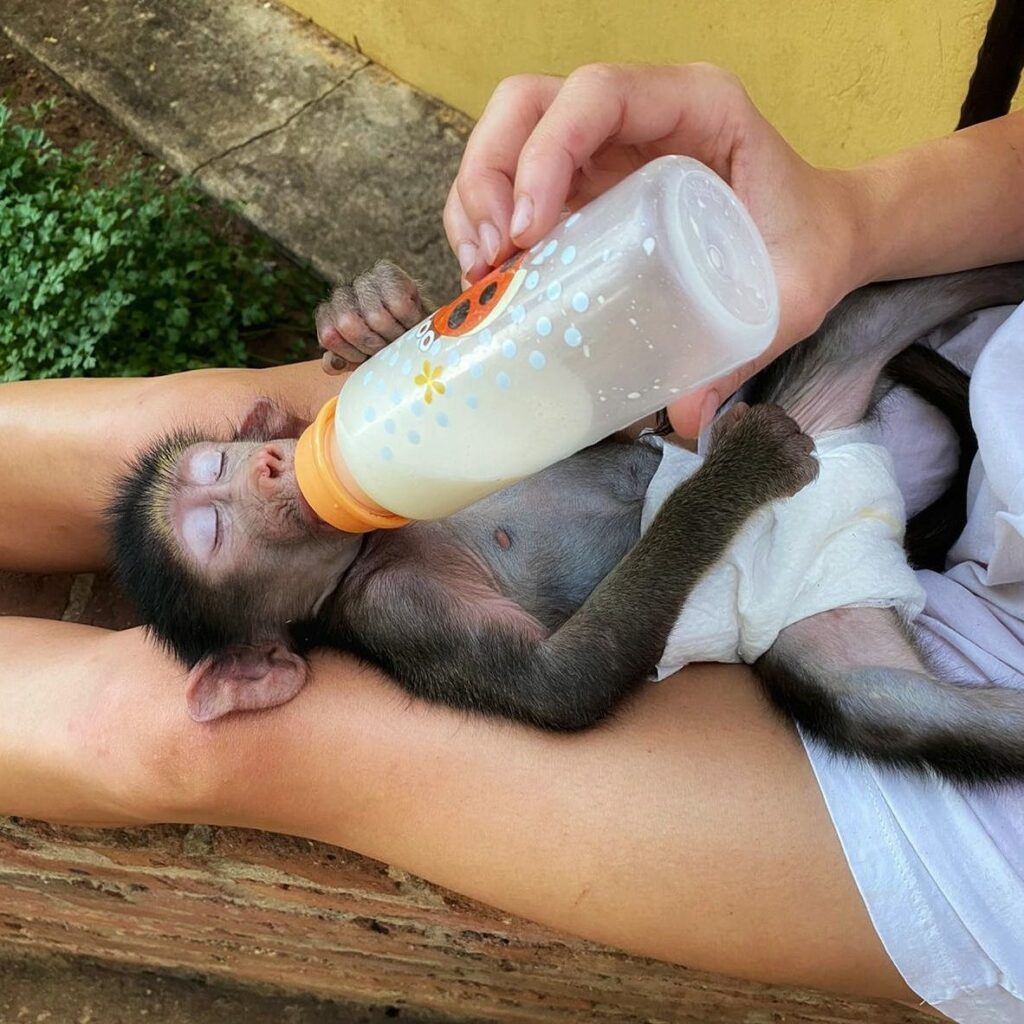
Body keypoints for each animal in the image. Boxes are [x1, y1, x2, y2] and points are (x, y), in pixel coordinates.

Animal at [110, 262, 1024, 782]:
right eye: (212, 534)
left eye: (217, 471)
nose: (273, 469)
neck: (378, 530)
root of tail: (882, 531)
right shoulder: (392, 610)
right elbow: (566, 684)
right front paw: (735, 473)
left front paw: (371, 318)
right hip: (830, 640)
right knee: (905, 711)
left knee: (883, 306)